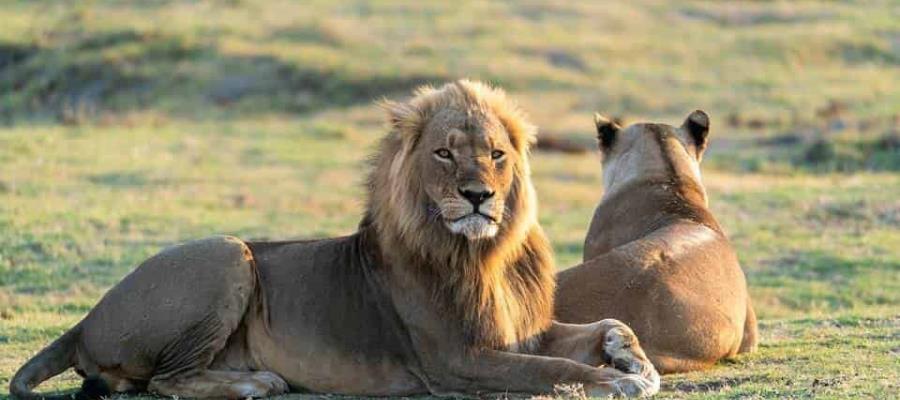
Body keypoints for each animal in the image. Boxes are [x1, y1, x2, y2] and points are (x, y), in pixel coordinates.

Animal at [12, 80, 660, 399]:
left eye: (496, 154)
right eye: (444, 153)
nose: (478, 195)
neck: (485, 254)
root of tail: (87, 317)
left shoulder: (521, 331)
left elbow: (606, 325)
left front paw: (635, 360)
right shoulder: (458, 360)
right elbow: (550, 371)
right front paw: (616, 380)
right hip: (228, 253)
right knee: (164, 381)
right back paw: (256, 382)